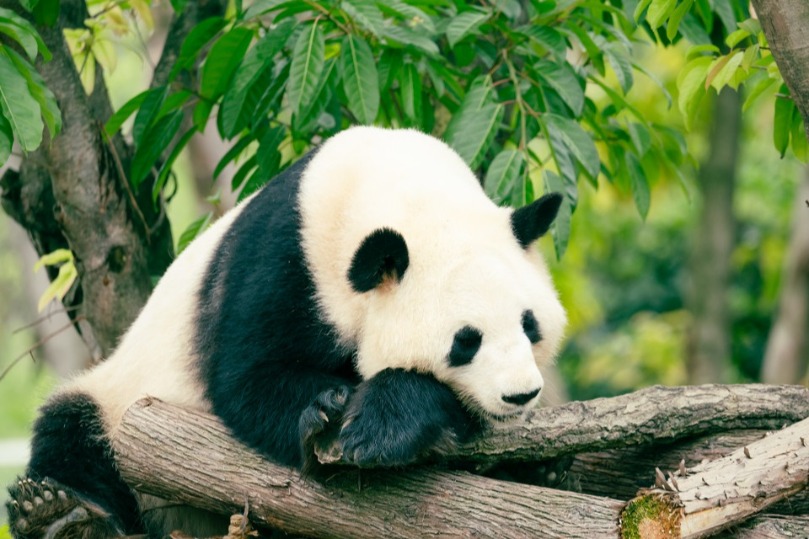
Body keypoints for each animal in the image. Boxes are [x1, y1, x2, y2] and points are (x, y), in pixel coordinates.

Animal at [6, 126, 567, 538]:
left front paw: (380, 423)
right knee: (74, 435)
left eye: (529, 325)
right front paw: (330, 412)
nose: (521, 394)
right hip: (120, 399)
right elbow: (247, 378)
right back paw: (59, 514)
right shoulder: (280, 258)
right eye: (465, 341)